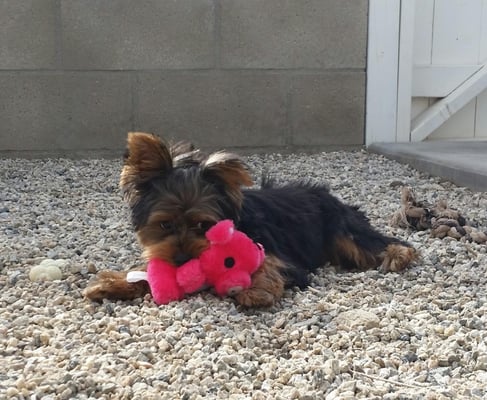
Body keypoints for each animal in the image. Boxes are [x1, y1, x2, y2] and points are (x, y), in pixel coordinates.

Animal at [83, 133, 416, 308]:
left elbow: (271, 264)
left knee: (373, 241)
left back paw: (398, 255)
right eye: (164, 225)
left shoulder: (284, 256)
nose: (180, 260)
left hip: (339, 228)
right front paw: (112, 284)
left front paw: (257, 289)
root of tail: (328, 195)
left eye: (203, 226)